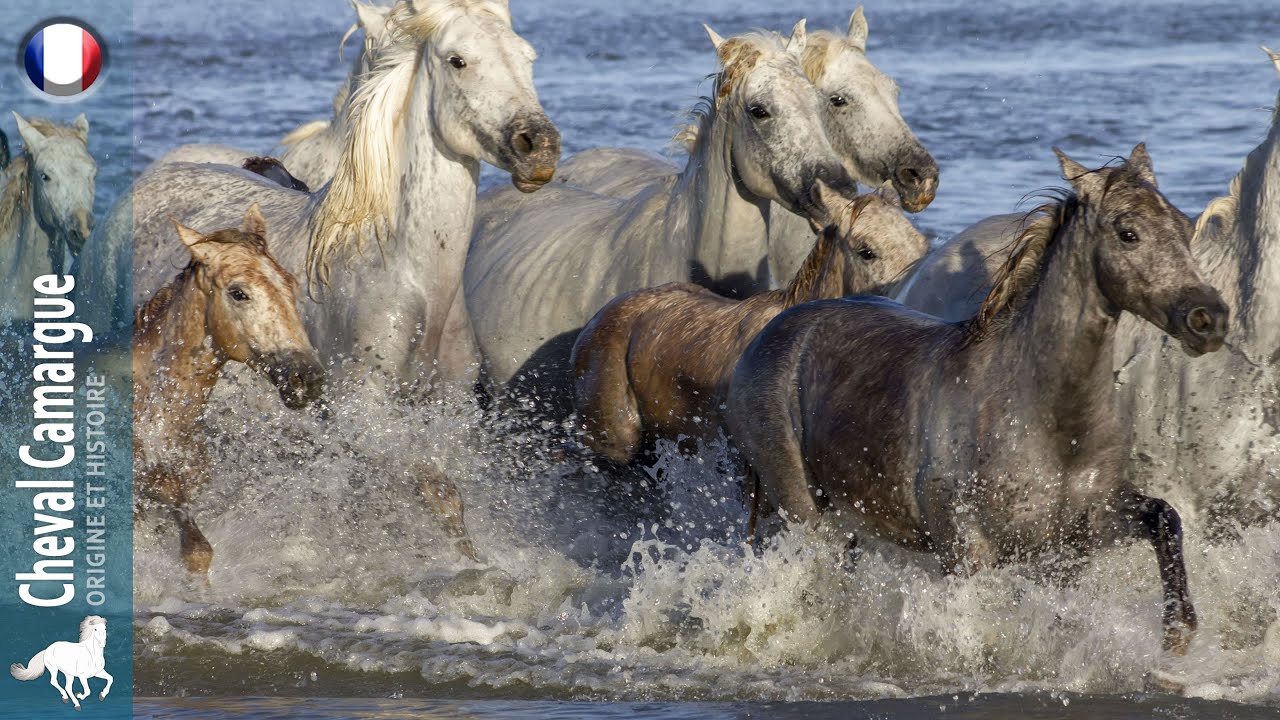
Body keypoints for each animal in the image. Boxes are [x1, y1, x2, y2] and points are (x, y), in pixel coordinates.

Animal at [726, 146, 1229, 659]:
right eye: (1128, 233)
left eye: (1183, 227)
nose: (1208, 318)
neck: (1046, 419)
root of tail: (770, 332)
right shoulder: (968, 551)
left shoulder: (1080, 536)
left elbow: (1163, 517)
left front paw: (1177, 631)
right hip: (804, 509)